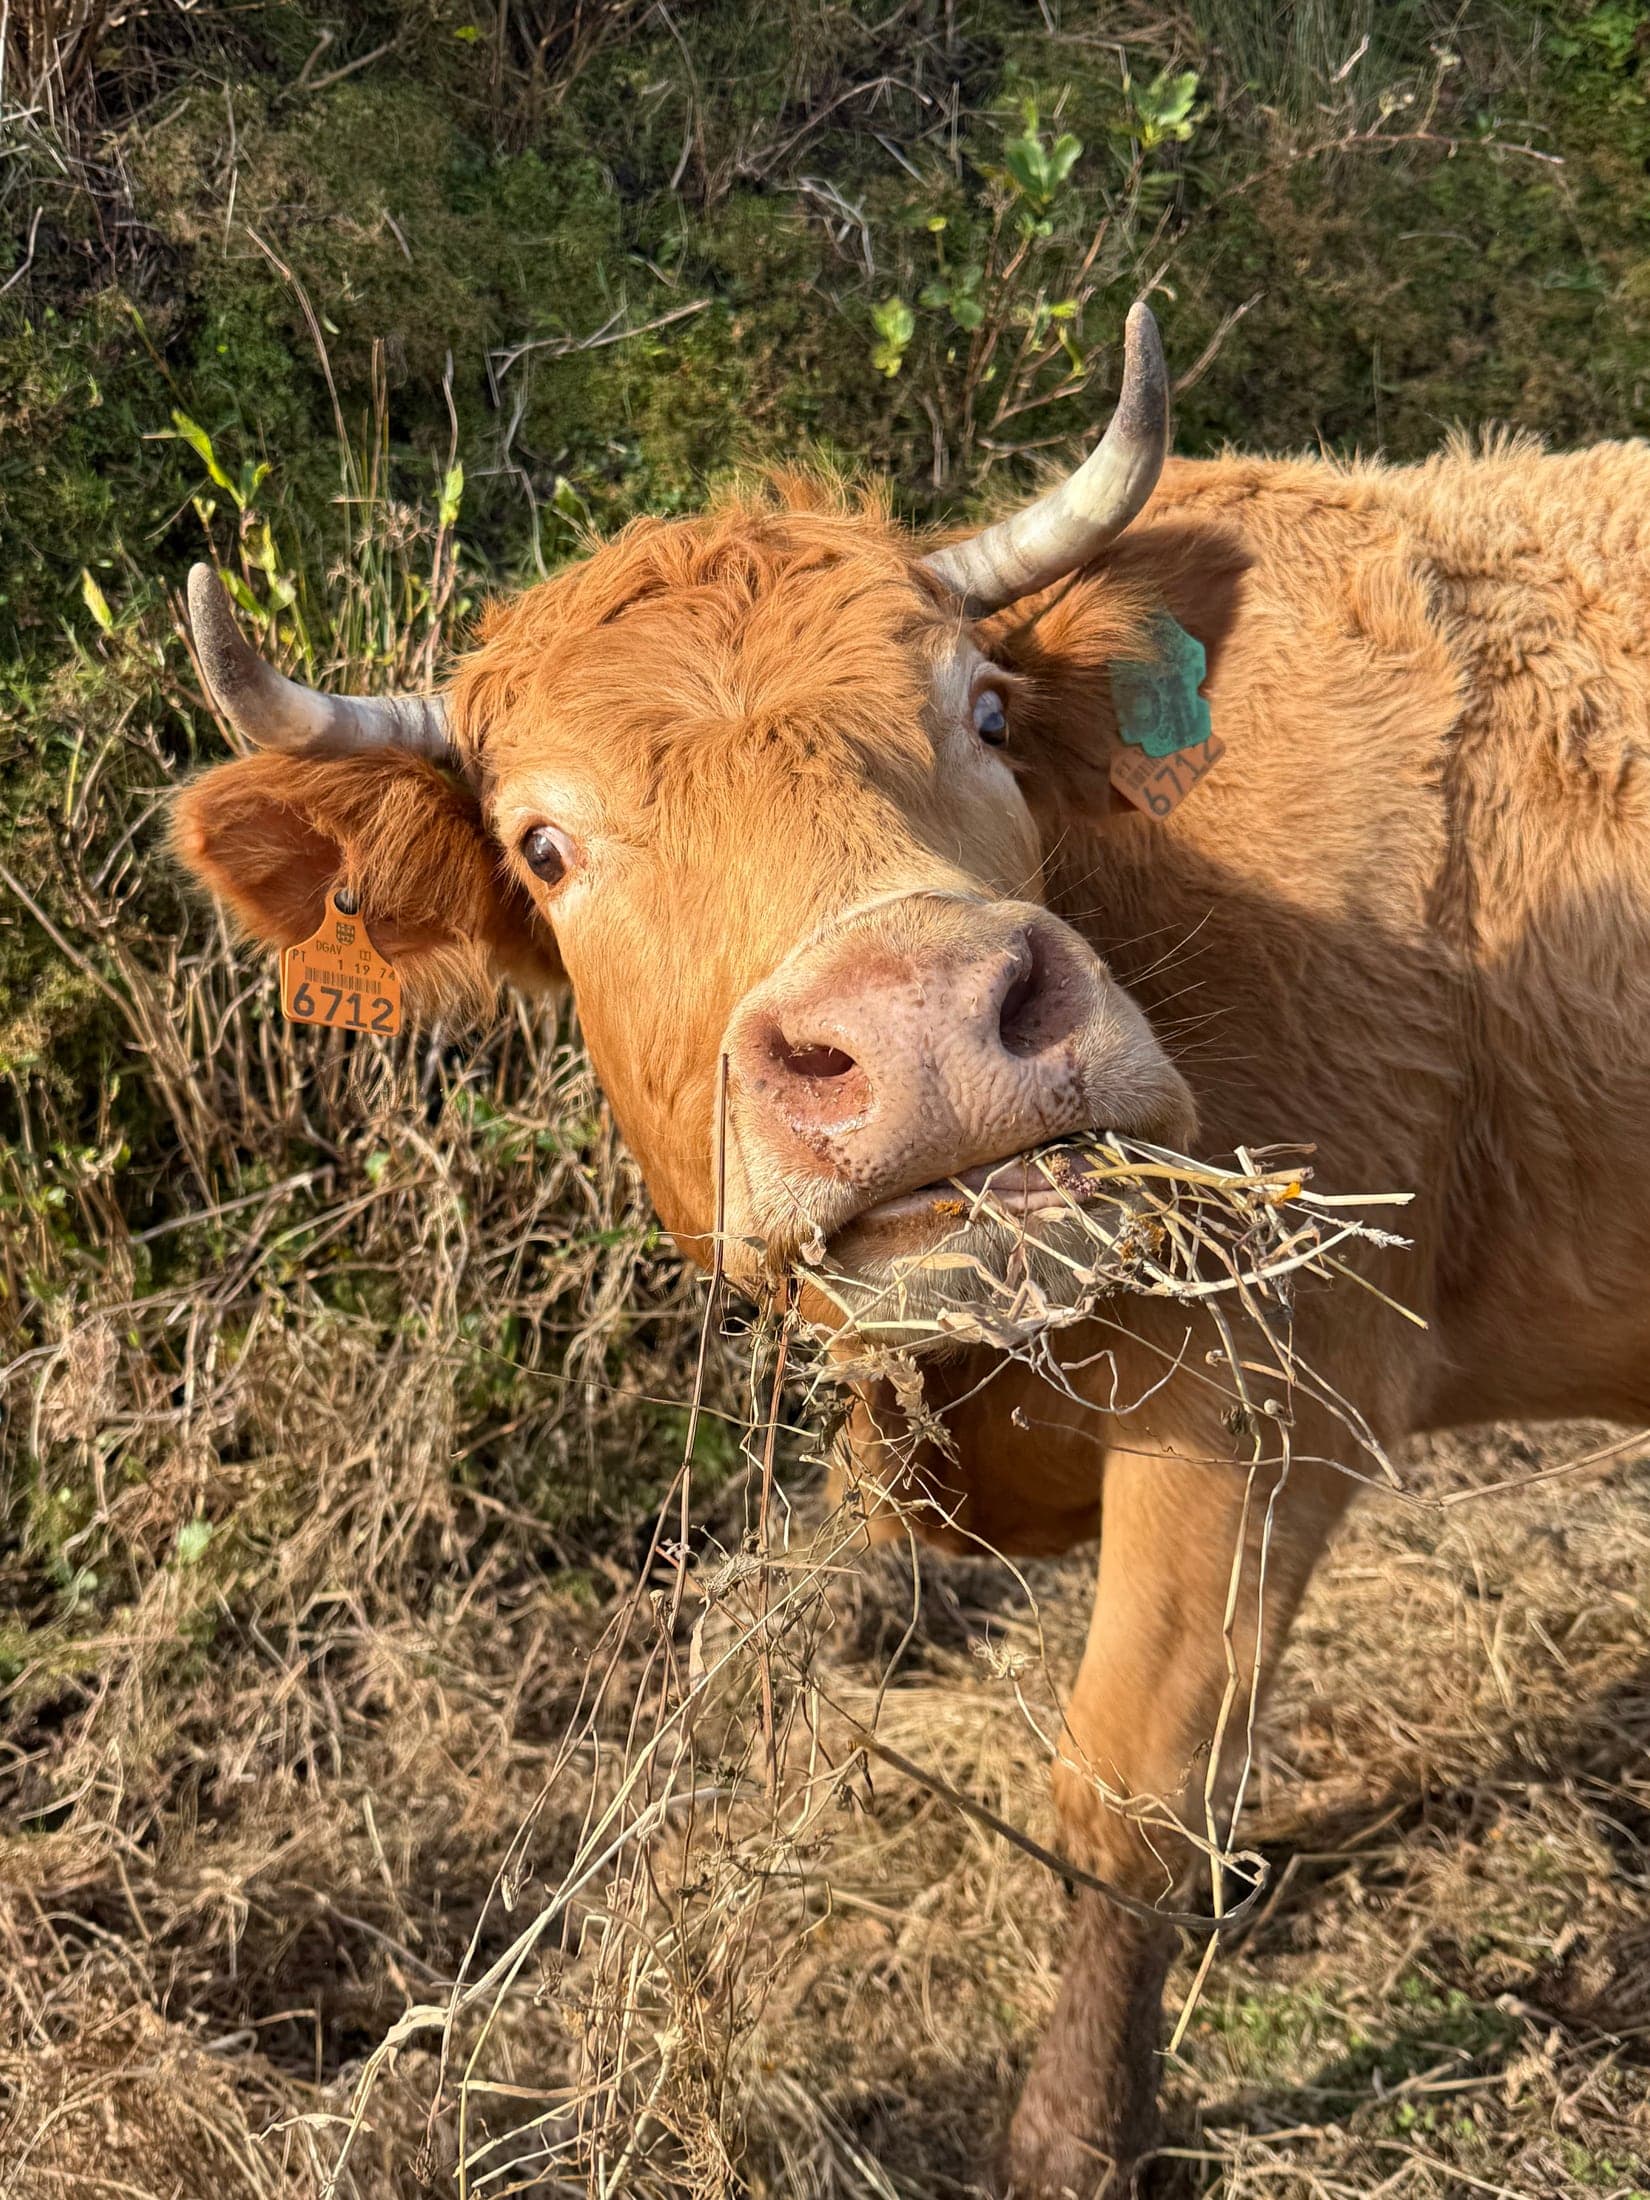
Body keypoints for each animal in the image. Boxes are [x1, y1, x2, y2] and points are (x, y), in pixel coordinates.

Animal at [171, 303, 1650, 2195]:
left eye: (986, 712)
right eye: (545, 845)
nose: (927, 1024)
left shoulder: (1264, 1396)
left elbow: (1128, 1790)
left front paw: (1070, 2143)